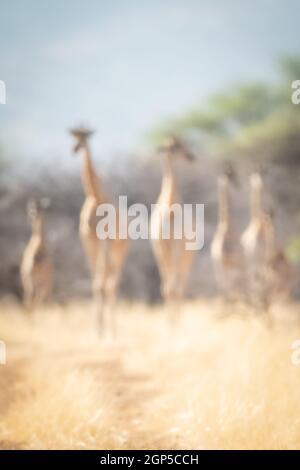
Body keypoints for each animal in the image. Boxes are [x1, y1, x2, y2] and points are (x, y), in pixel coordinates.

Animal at [69, 126, 128, 336]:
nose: (75, 149)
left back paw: (114, 331)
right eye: (75, 136)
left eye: (86, 137)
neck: (95, 196)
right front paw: (96, 330)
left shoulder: (105, 242)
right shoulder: (88, 241)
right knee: (106, 281)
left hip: (119, 250)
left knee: (112, 283)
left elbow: (102, 283)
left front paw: (102, 331)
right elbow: (95, 283)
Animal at [150, 134, 197, 322]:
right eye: (175, 147)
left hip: (184, 257)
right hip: (170, 255)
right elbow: (167, 288)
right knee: (173, 286)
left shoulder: (175, 248)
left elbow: (173, 288)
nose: (191, 157)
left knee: (180, 286)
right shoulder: (161, 248)